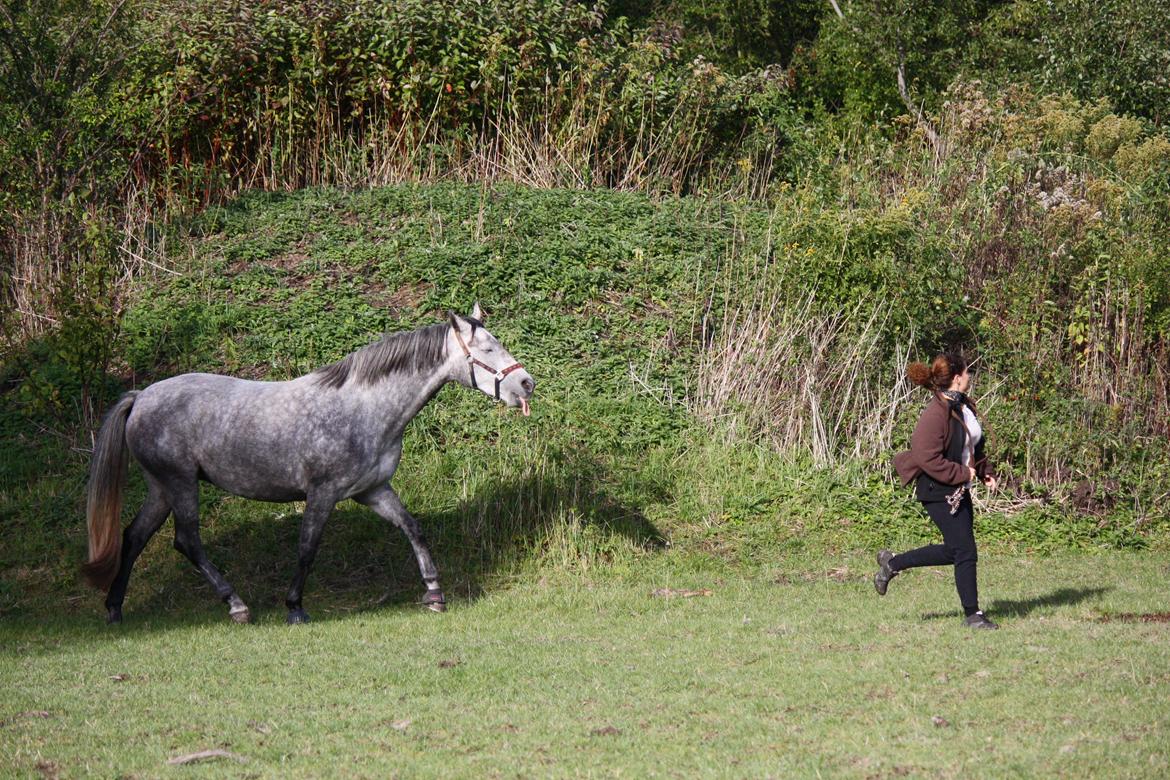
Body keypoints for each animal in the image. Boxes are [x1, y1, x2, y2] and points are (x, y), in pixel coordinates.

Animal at [82, 304, 535, 622]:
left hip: (162, 488)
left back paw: (114, 609)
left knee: (134, 537)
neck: (364, 408)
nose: (526, 383)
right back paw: (237, 606)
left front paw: (435, 593)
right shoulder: (323, 493)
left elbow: (413, 529)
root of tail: (141, 396)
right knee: (187, 541)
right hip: (180, 484)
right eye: (487, 349)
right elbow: (307, 548)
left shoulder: (373, 491)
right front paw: (295, 607)